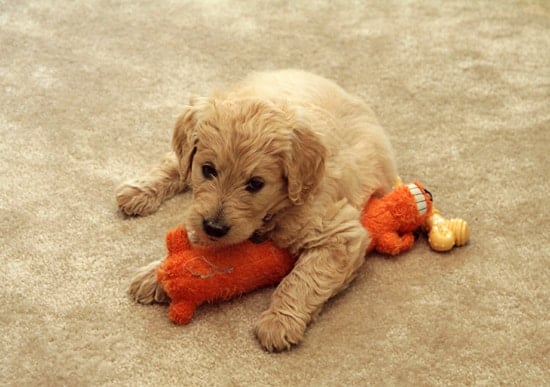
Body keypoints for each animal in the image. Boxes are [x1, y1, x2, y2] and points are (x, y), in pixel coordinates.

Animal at [118, 69, 398, 352]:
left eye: (255, 184)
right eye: (208, 169)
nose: (214, 227)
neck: (276, 209)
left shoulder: (339, 234)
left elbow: (303, 279)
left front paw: (278, 322)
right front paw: (158, 274)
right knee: (176, 161)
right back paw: (137, 191)